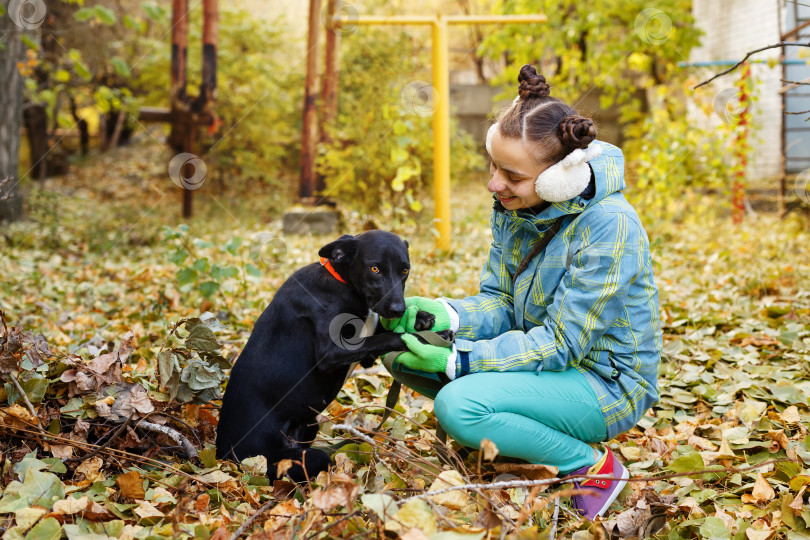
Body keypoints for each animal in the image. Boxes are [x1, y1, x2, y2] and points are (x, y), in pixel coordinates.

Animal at [213, 230, 430, 484]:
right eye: (375, 269)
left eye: (405, 270)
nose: (398, 310)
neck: (342, 283)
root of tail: (222, 456)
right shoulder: (331, 352)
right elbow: (385, 337)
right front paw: (418, 336)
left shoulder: (365, 354)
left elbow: (379, 335)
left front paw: (423, 318)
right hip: (290, 459)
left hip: (310, 425)